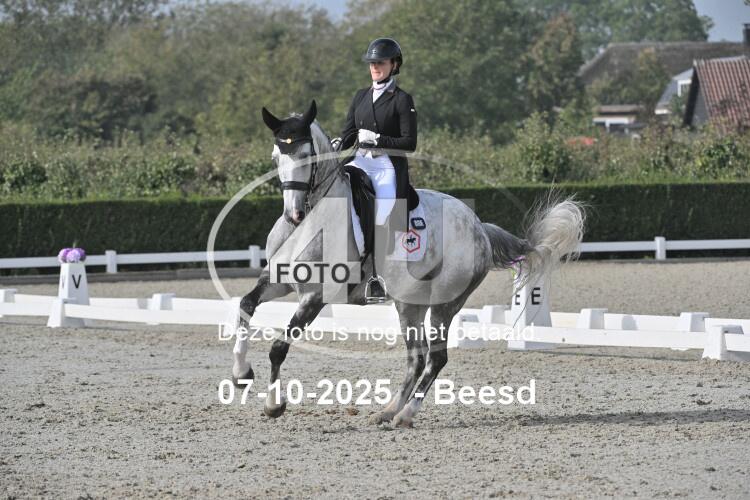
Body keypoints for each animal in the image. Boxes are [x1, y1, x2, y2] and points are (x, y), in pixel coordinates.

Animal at [231, 100, 585, 427]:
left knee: (435, 358)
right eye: (276, 158)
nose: (293, 214)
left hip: (444, 303)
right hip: (409, 304)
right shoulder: (278, 281)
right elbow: (245, 306)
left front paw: (273, 405)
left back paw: (404, 414)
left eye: (307, 156)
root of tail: (479, 228)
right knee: (417, 357)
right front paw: (240, 374)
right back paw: (388, 411)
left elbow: (278, 347)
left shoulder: (316, 296)